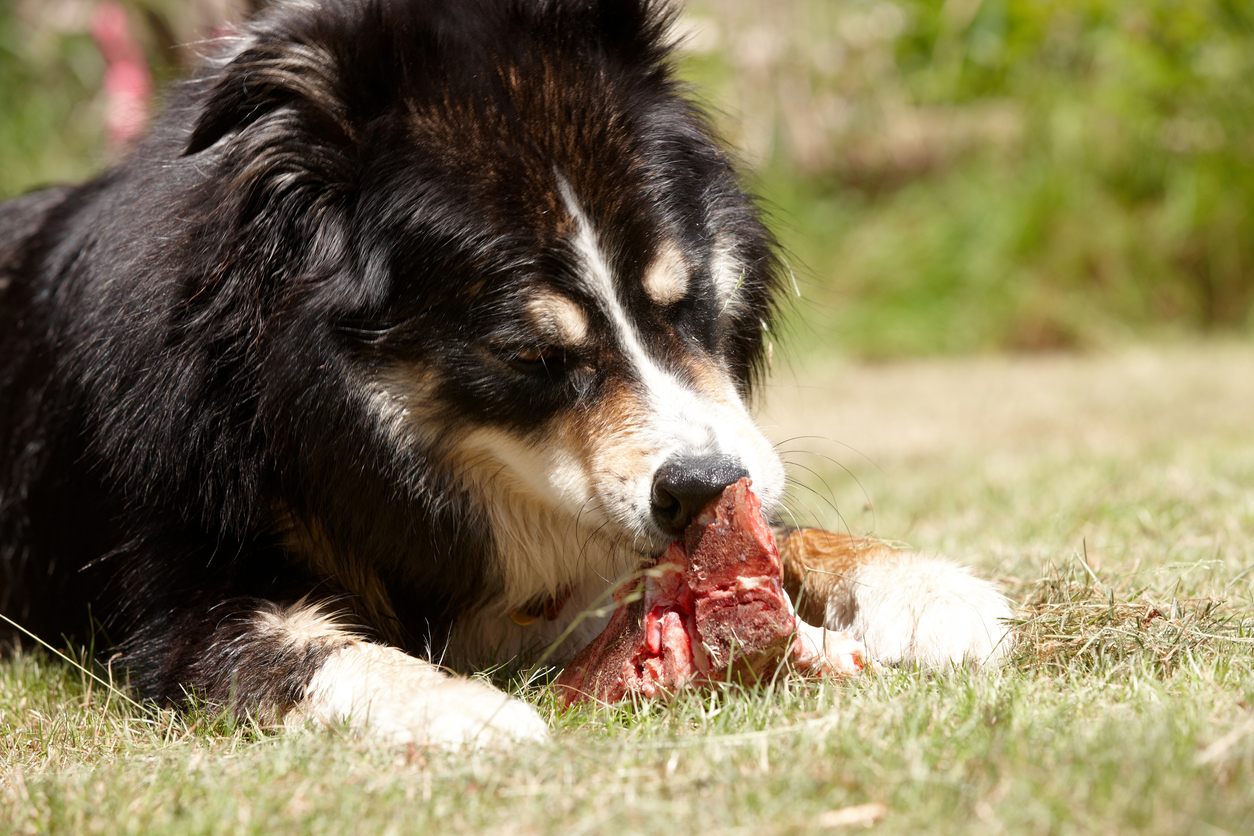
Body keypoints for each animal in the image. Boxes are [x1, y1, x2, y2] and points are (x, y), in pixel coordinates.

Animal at [0, 0, 1008, 747]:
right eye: (529, 354)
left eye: (683, 300)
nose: (697, 486)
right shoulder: (177, 610)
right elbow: (311, 651)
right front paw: (468, 713)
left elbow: (786, 534)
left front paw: (929, 591)